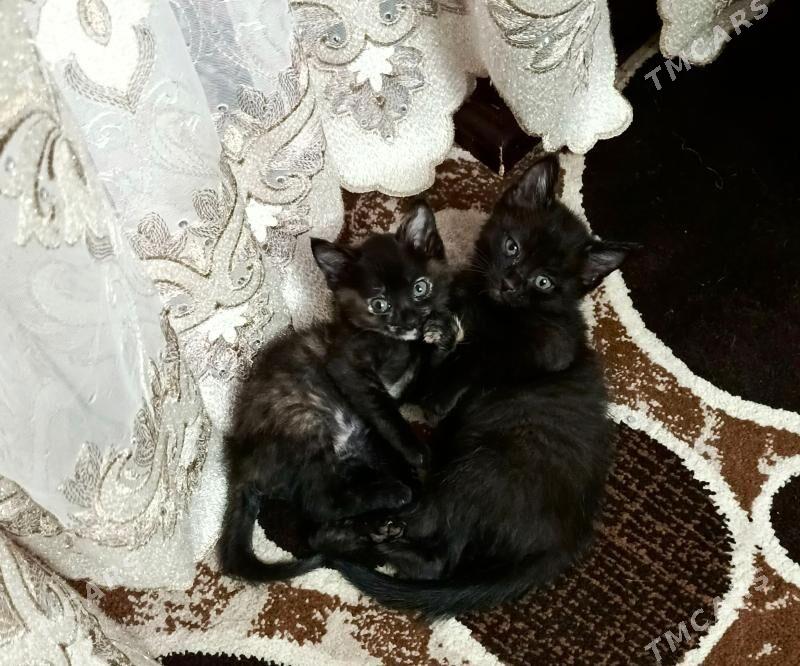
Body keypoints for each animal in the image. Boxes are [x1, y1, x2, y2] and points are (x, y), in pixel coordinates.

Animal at [218, 203, 459, 582]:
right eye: (379, 304)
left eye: (421, 288)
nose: (408, 321)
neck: (398, 346)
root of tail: (240, 466)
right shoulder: (347, 367)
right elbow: (386, 412)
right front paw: (419, 453)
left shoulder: (416, 385)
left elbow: (434, 383)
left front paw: (443, 332)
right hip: (305, 420)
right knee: (320, 502)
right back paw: (394, 493)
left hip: (355, 448)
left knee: (317, 526)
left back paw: (371, 527)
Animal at [321, 154, 639, 617]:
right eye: (512, 247)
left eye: (544, 281)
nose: (511, 281)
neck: (489, 305)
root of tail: (563, 545)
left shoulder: (555, 344)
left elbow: (492, 354)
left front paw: (444, 394)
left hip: (479, 465)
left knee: (440, 552)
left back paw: (365, 533)